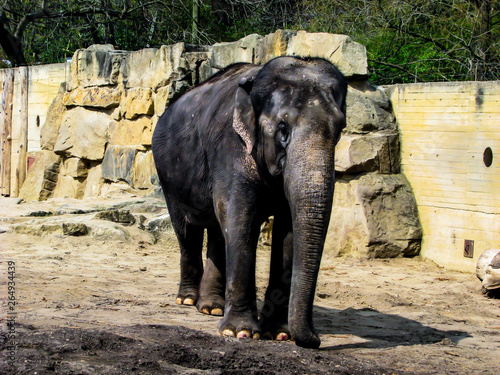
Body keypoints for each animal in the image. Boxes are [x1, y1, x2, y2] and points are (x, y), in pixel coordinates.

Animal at [152, 56, 348, 350]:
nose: (316, 339)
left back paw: (212, 308)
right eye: (282, 129)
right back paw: (187, 300)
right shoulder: (230, 146)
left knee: (217, 231)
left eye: (340, 129)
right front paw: (241, 333)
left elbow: (288, 229)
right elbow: (240, 216)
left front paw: (281, 334)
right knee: (187, 230)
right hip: (168, 176)